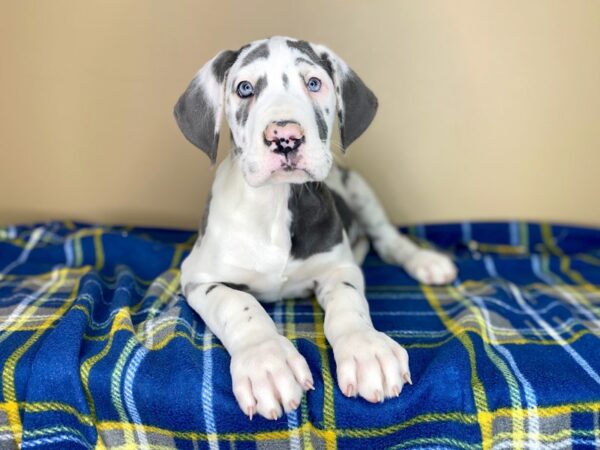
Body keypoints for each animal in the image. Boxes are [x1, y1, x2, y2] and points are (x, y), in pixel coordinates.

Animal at [176, 37, 458, 420]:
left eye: (313, 83)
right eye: (245, 88)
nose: (284, 137)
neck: (276, 205)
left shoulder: (338, 267)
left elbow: (348, 302)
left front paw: (366, 348)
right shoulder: (199, 277)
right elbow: (238, 304)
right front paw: (266, 362)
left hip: (360, 189)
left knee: (388, 240)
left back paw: (426, 262)